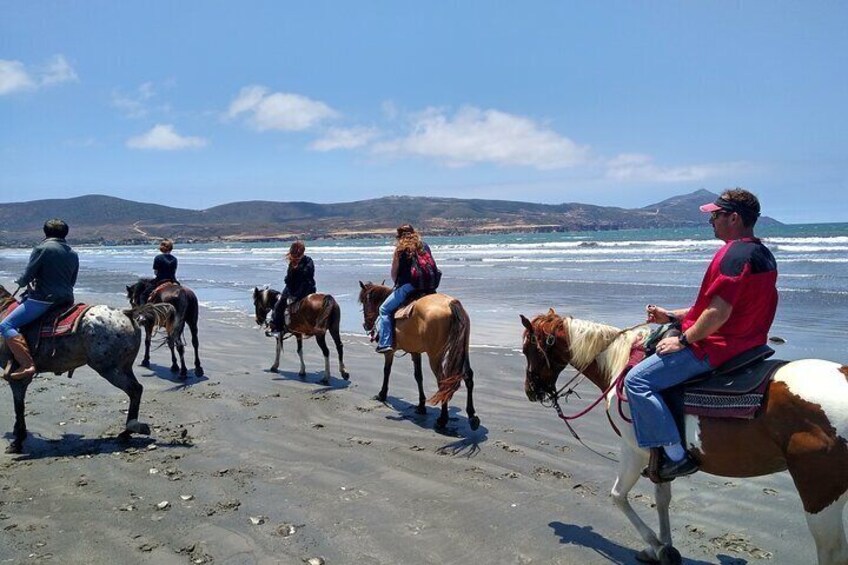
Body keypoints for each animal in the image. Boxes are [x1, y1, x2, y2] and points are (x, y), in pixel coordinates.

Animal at [0, 284, 174, 452]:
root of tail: (127, 313)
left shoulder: (18, 377)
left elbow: (19, 407)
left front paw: (18, 441)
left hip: (110, 370)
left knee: (135, 390)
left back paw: (129, 429)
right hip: (124, 367)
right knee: (137, 389)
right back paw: (127, 432)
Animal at [356, 280, 480, 430]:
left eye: (364, 301)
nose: (366, 325)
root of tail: (451, 303)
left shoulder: (390, 352)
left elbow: (387, 371)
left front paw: (382, 394)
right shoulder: (415, 352)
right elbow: (418, 376)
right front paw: (421, 406)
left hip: (435, 355)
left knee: (442, 381)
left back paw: (442, 420)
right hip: (462, 349)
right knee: (468, 376)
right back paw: (472, 416)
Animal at [516, 308, 848, 564]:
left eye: (528, 349)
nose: (531, 391)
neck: (622, 366)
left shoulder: (633, 450)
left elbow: (618, 496)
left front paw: (656, 546)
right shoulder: (659, 456)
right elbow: (662, 499)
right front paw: (664, 546)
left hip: (820, 496)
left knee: (831, 552)